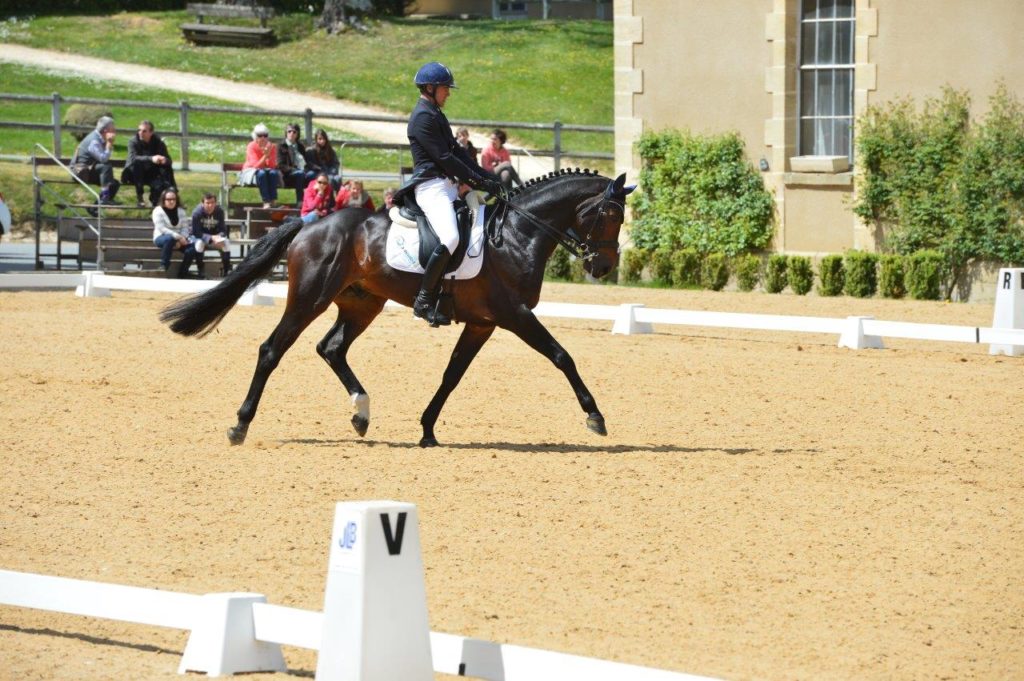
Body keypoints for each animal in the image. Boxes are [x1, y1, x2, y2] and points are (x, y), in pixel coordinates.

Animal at [158, 168, 630, 446]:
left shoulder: (482, 323)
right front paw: (596, 417)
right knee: (272, 349)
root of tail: (309, 226)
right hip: (310, 297)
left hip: (362, 303)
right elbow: (562, 356)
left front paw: (427, 429)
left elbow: (452, 376)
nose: (603, 266)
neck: (516, 234)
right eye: (609, 215)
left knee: (331, 348)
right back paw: (240, 425)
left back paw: (361, 414)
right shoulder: (514, 315)